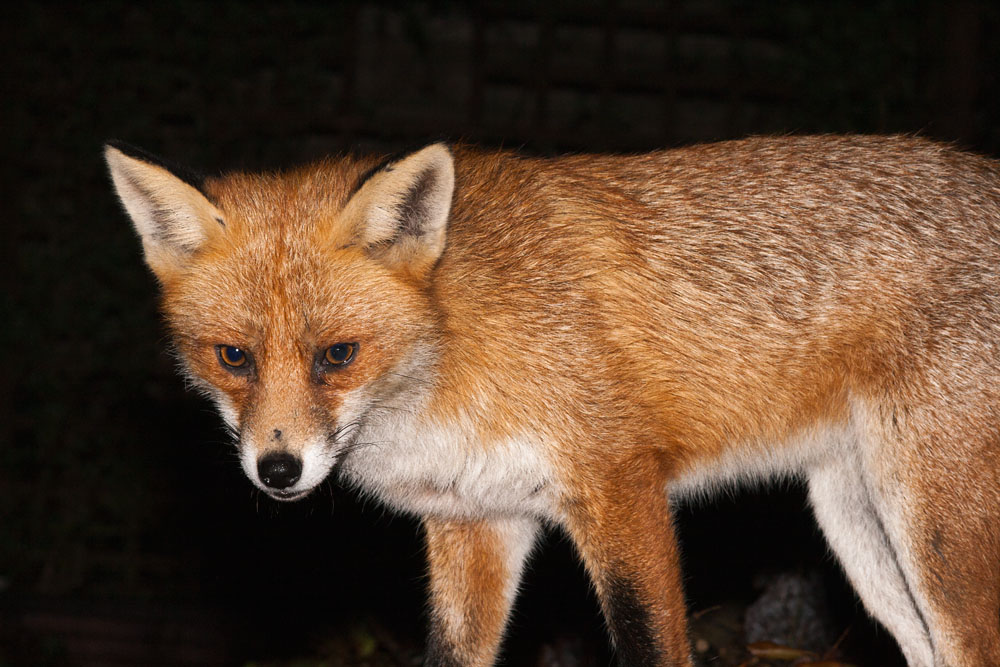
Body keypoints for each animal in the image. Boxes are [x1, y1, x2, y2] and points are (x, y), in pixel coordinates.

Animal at [105, 134, 1000, 666]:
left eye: (338, 355)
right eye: (234, 357)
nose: (280, 470)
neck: (455, 350)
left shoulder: (619, 483)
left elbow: (649, 645)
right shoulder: (477, 521)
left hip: (930, 526)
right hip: (858, 522)